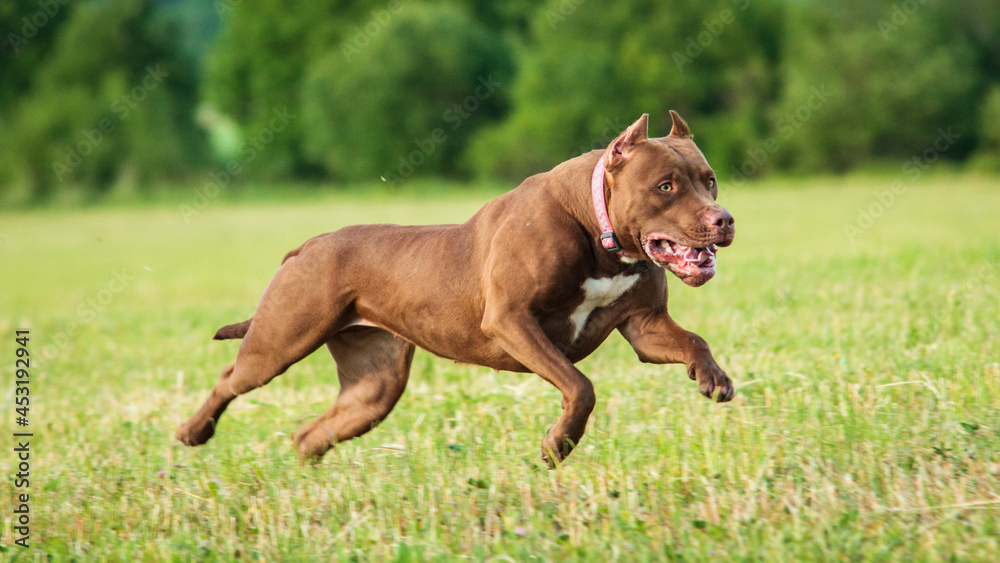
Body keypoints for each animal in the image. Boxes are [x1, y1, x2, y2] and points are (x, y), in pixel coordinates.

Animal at [176, 112, 736, 464]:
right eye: (666, 186)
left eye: (709, 179)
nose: (724, 219)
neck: (597, 229)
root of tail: (307, 246)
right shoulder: (512, 321)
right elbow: (580, 387)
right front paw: (557, 446)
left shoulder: (645, 325)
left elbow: (693, 339)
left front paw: (713, 376)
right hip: (281, 339)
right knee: (231, 377)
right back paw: (192, 431)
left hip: (373, 387)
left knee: (312, 431)